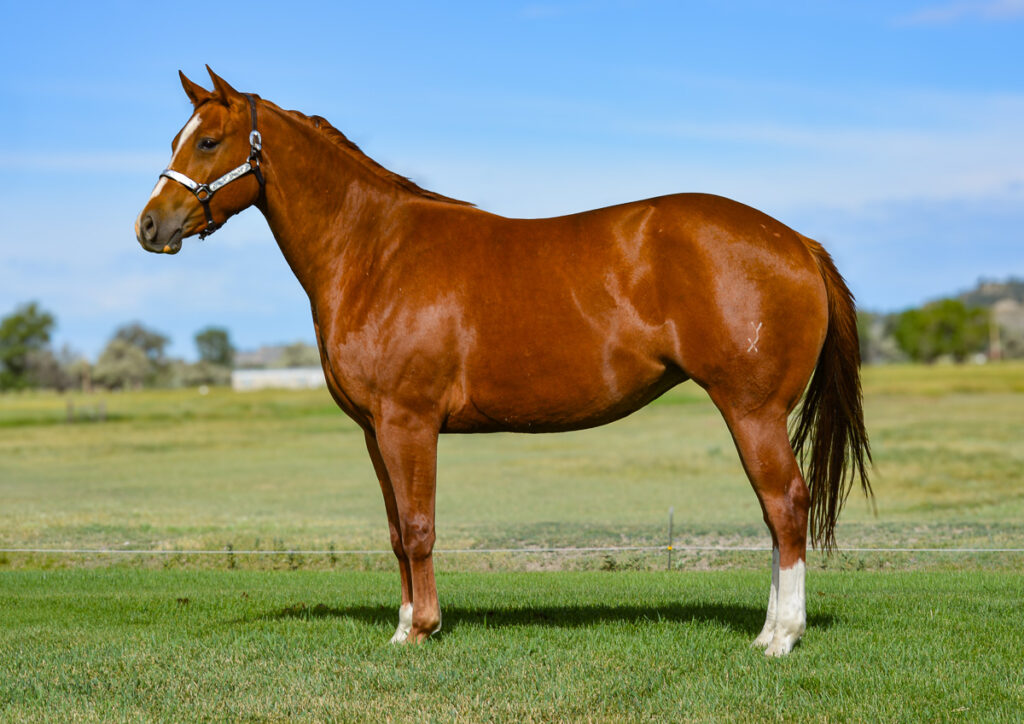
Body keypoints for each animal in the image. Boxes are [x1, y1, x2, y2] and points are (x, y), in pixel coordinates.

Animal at [136, 68, 872, 655]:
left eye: (208, 141)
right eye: (176, 137)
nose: (149, 226)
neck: (376, 251)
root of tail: (796, 242)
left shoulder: (409, 422)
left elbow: (420, 527)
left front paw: (422, 629)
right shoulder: (376, 431)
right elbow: (396, 531)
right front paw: (403, 623)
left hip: (752, 409)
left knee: (785, 505)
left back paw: (780, 638)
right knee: (775, 511)